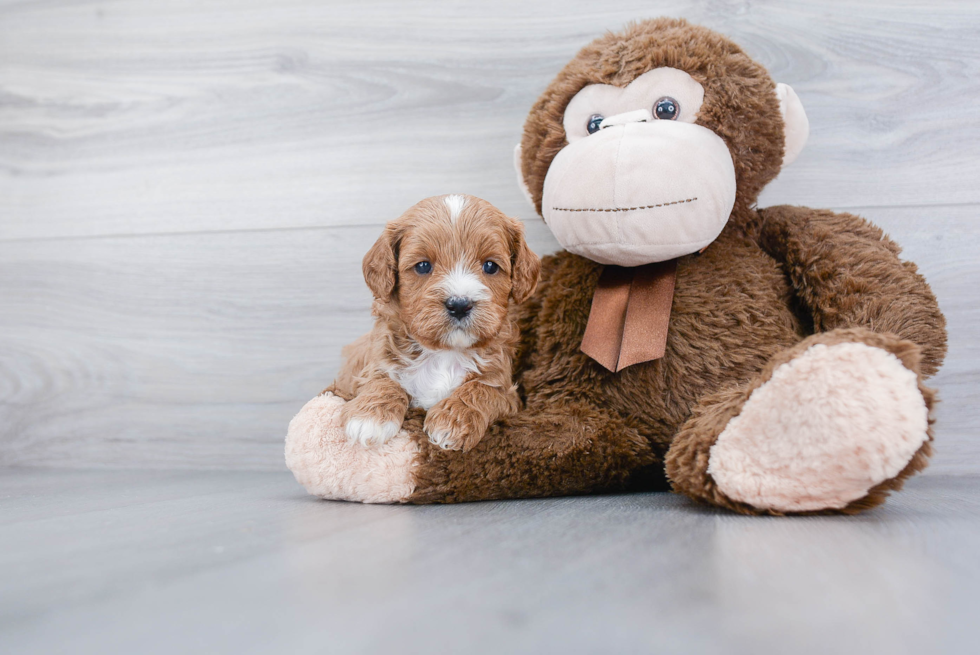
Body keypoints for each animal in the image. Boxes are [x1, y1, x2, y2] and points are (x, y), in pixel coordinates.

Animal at [334, 192, 540, 454]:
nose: (459, 304)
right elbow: (382, 377)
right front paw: (369, 417)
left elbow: (483, 389)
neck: (444, 353)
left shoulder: (509, 394)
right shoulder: (372, 362)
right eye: (423, 266)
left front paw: (451, 422)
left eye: (490, 266)